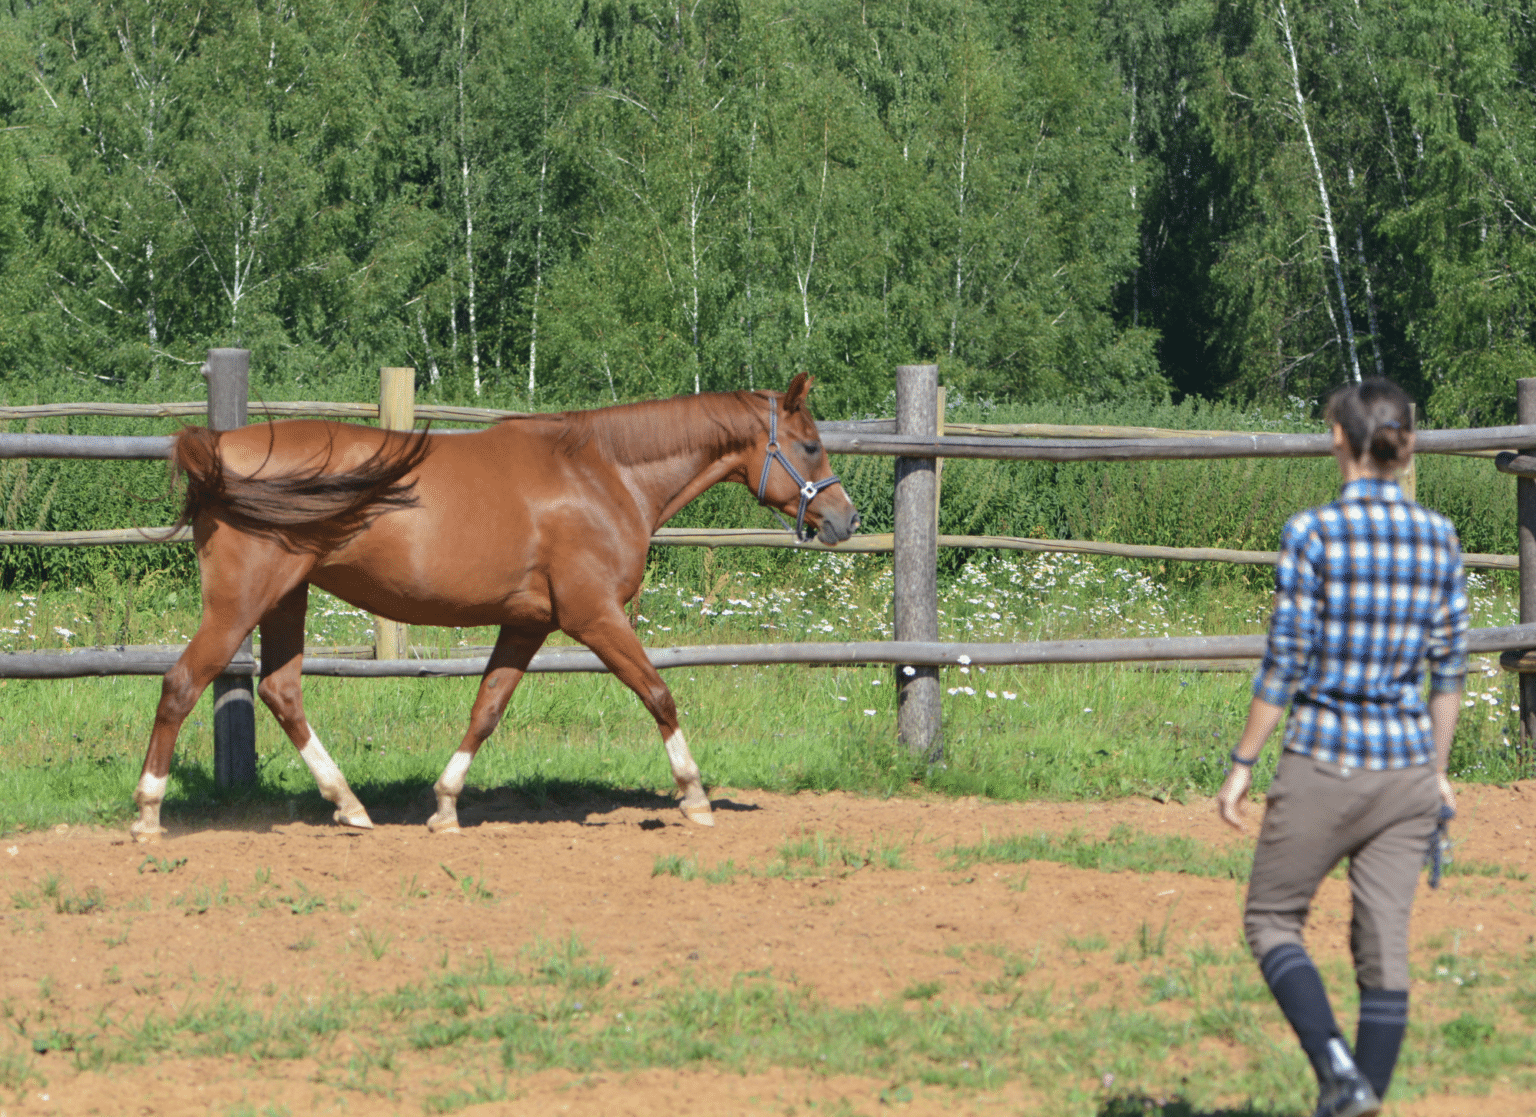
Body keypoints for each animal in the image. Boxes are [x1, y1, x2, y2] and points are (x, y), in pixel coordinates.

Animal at [129, 376, 866, 835]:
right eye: (809, 445)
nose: (845, 519)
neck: (604, 472)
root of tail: (218, 447)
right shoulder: (595, 617)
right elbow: (659, 693)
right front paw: (695, 797)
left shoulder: (526, 623)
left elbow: (486, 709)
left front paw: (446, 806)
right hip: (242, 602)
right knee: (182, 683)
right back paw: (147, 812)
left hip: (287, 598)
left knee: (282, 692)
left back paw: (350, 806)